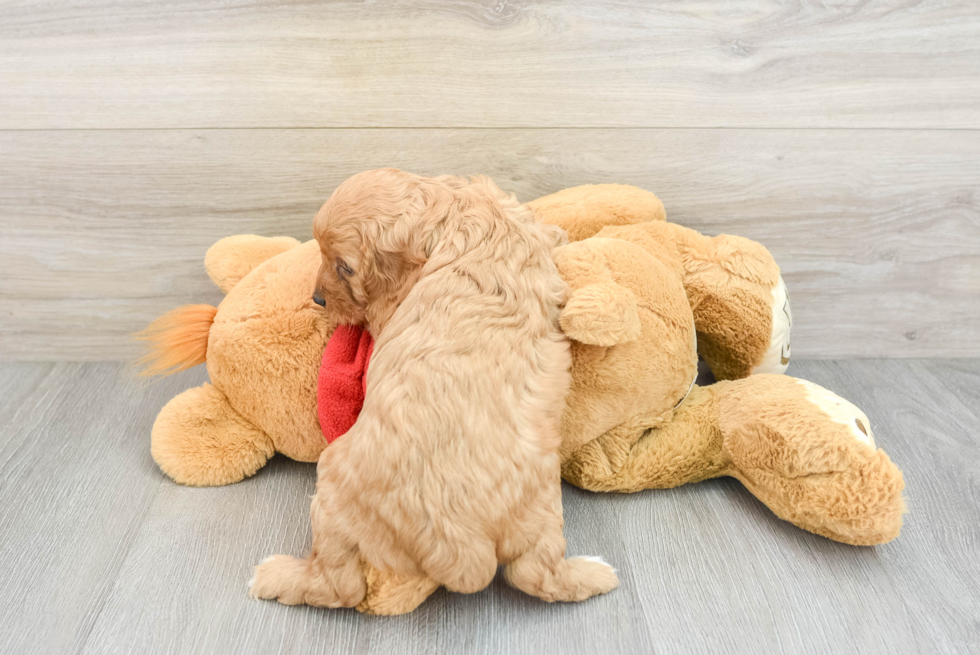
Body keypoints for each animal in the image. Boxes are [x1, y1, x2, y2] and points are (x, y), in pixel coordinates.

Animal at [249, 169, 616, 608]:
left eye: (345, 268)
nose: (318, 299)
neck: (449, 212)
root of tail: (458, 541)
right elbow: (547, 230)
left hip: (332, 486)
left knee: (340, 586)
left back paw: (275, 576)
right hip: (539, 511)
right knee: (536, 573)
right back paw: (595, 573)